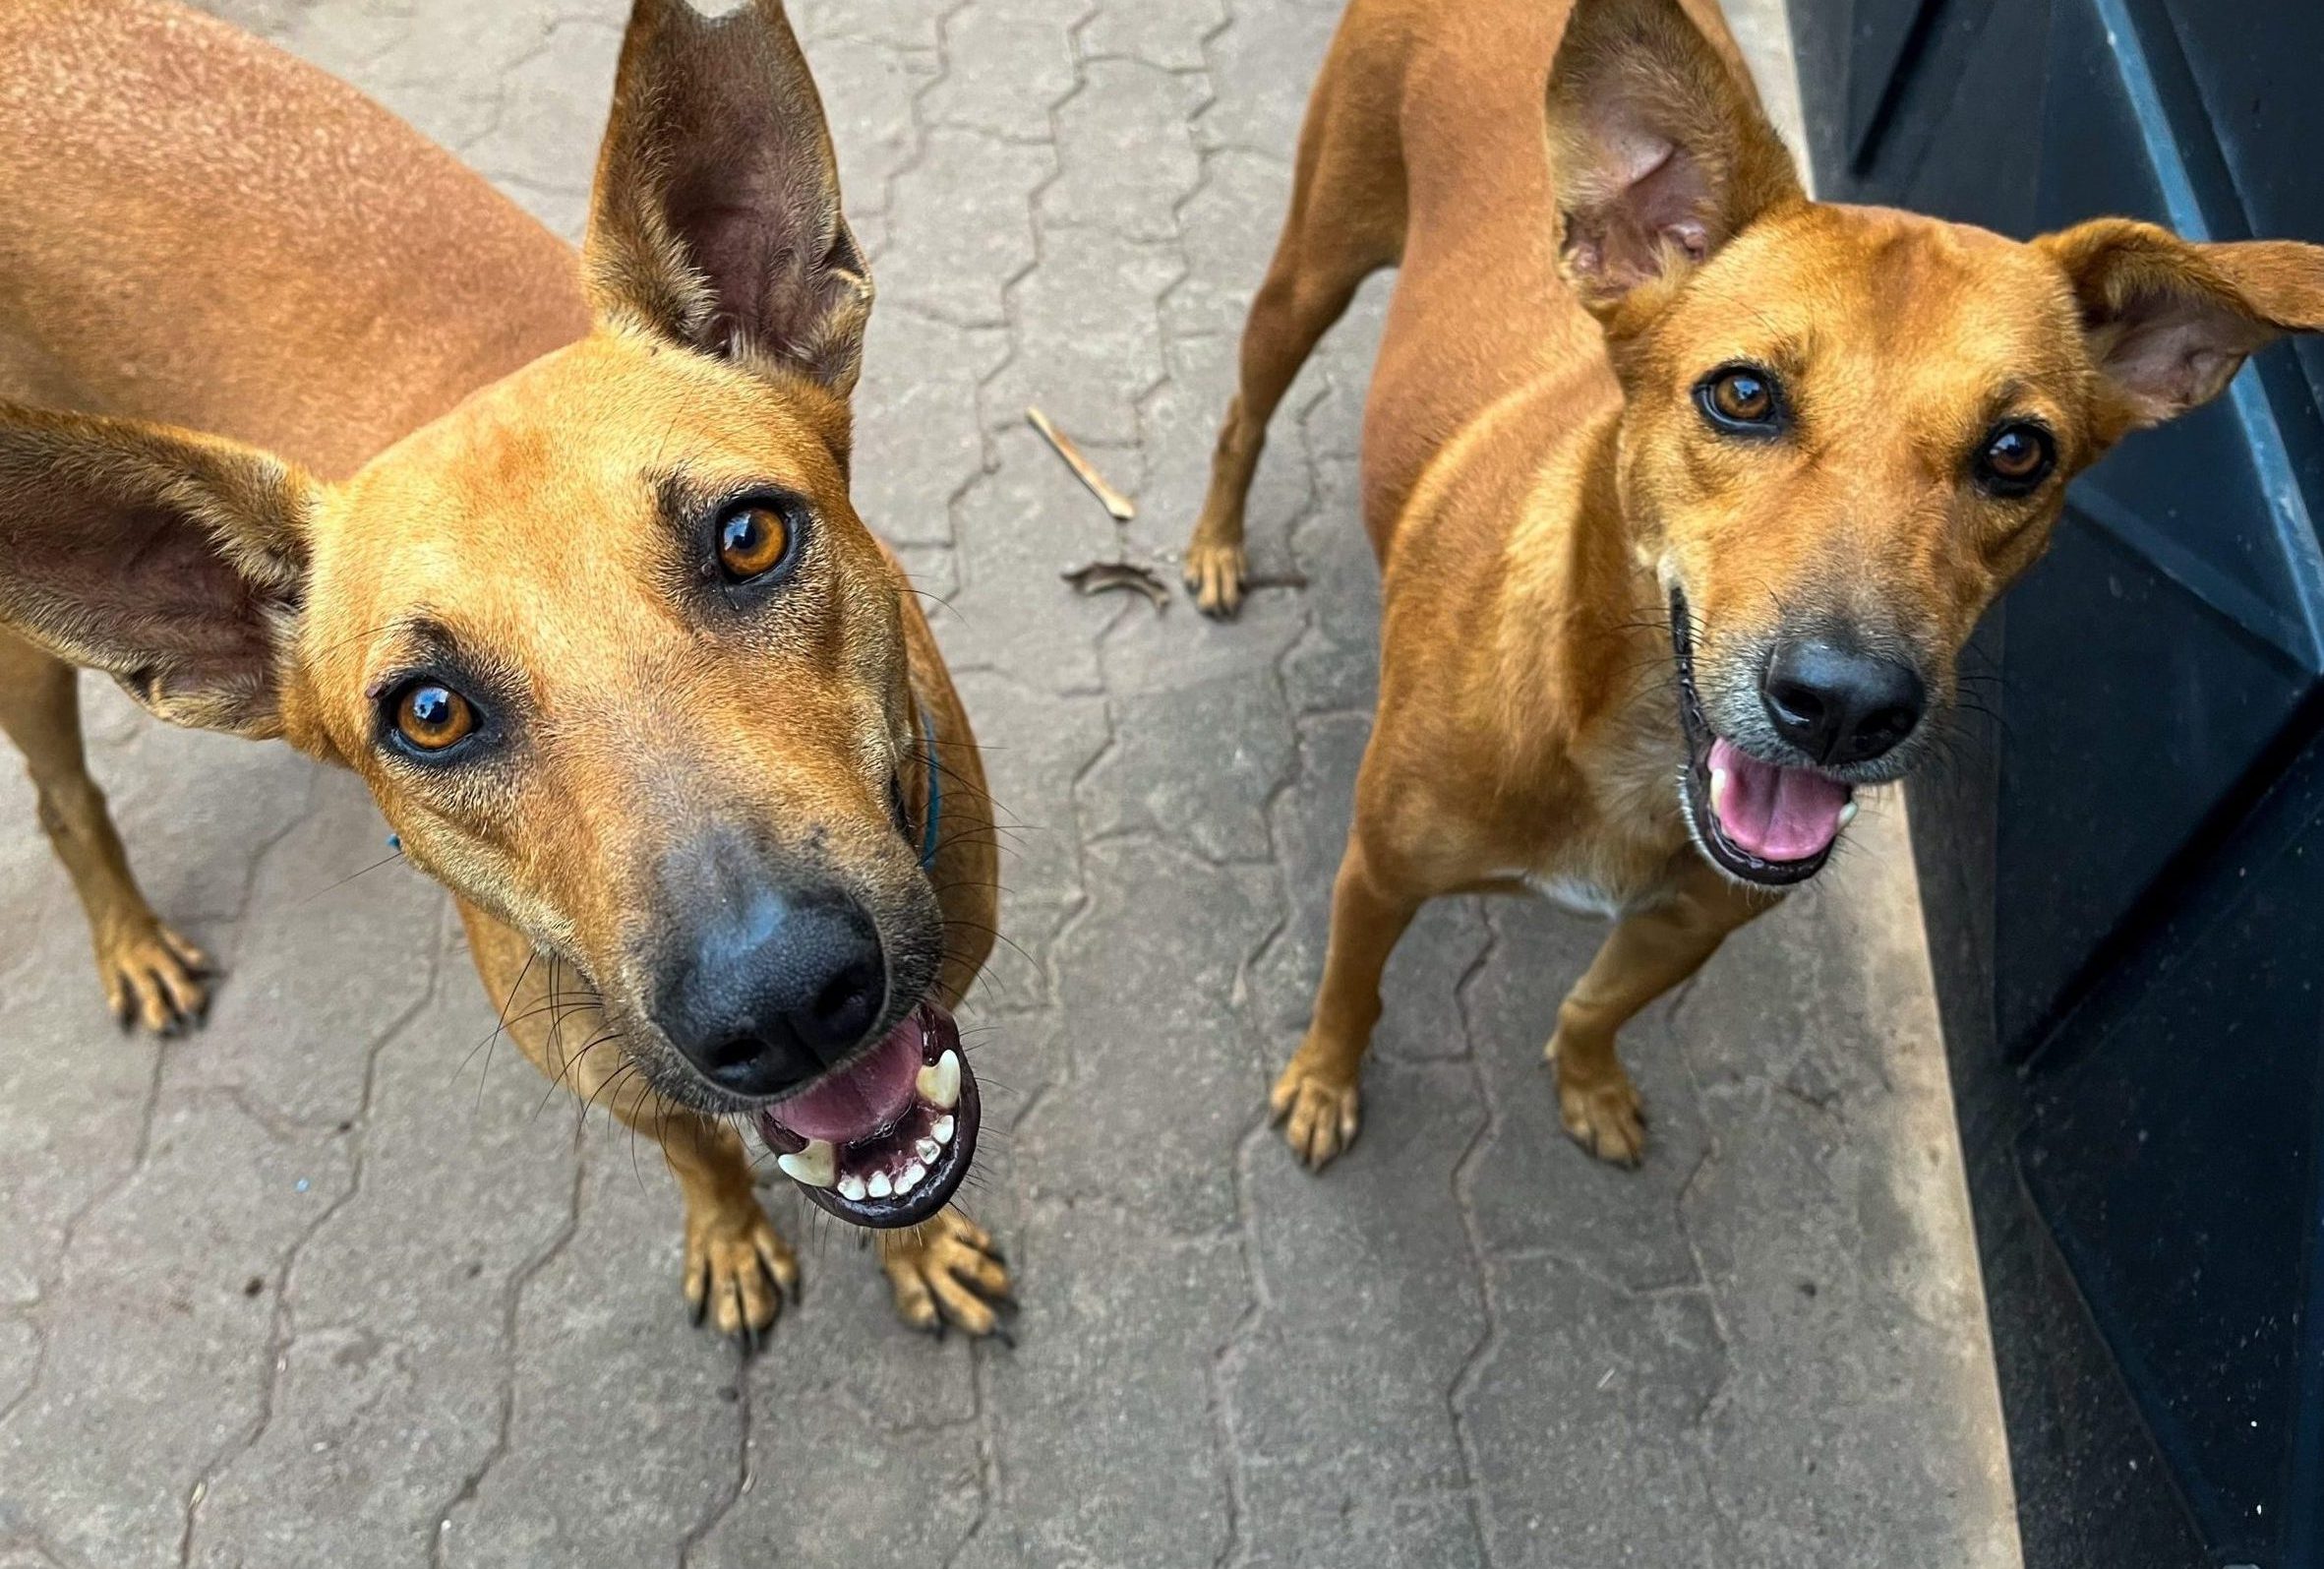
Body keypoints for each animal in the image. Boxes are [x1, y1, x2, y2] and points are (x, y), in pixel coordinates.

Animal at [2, 0, 1017, 1348]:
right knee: (65, 798)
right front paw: (730, 1233)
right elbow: (703, 1153)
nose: (787, 1000)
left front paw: (920, 1249)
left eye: (749, 534)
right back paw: (133, 942)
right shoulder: (608, 1069)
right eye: (429, 714)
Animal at [1180, 0, 2324, 1167]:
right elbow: (1349, 993)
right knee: (1241, 418)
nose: (1845, 707)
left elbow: (1592, 1006)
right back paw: (1215, 547)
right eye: (1740, 394)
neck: (1620, 751)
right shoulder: (1375, 874)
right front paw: (1323, 1080)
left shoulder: (1684, 928)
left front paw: (1588, 1081)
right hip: (1310, 267)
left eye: (2016, 453)